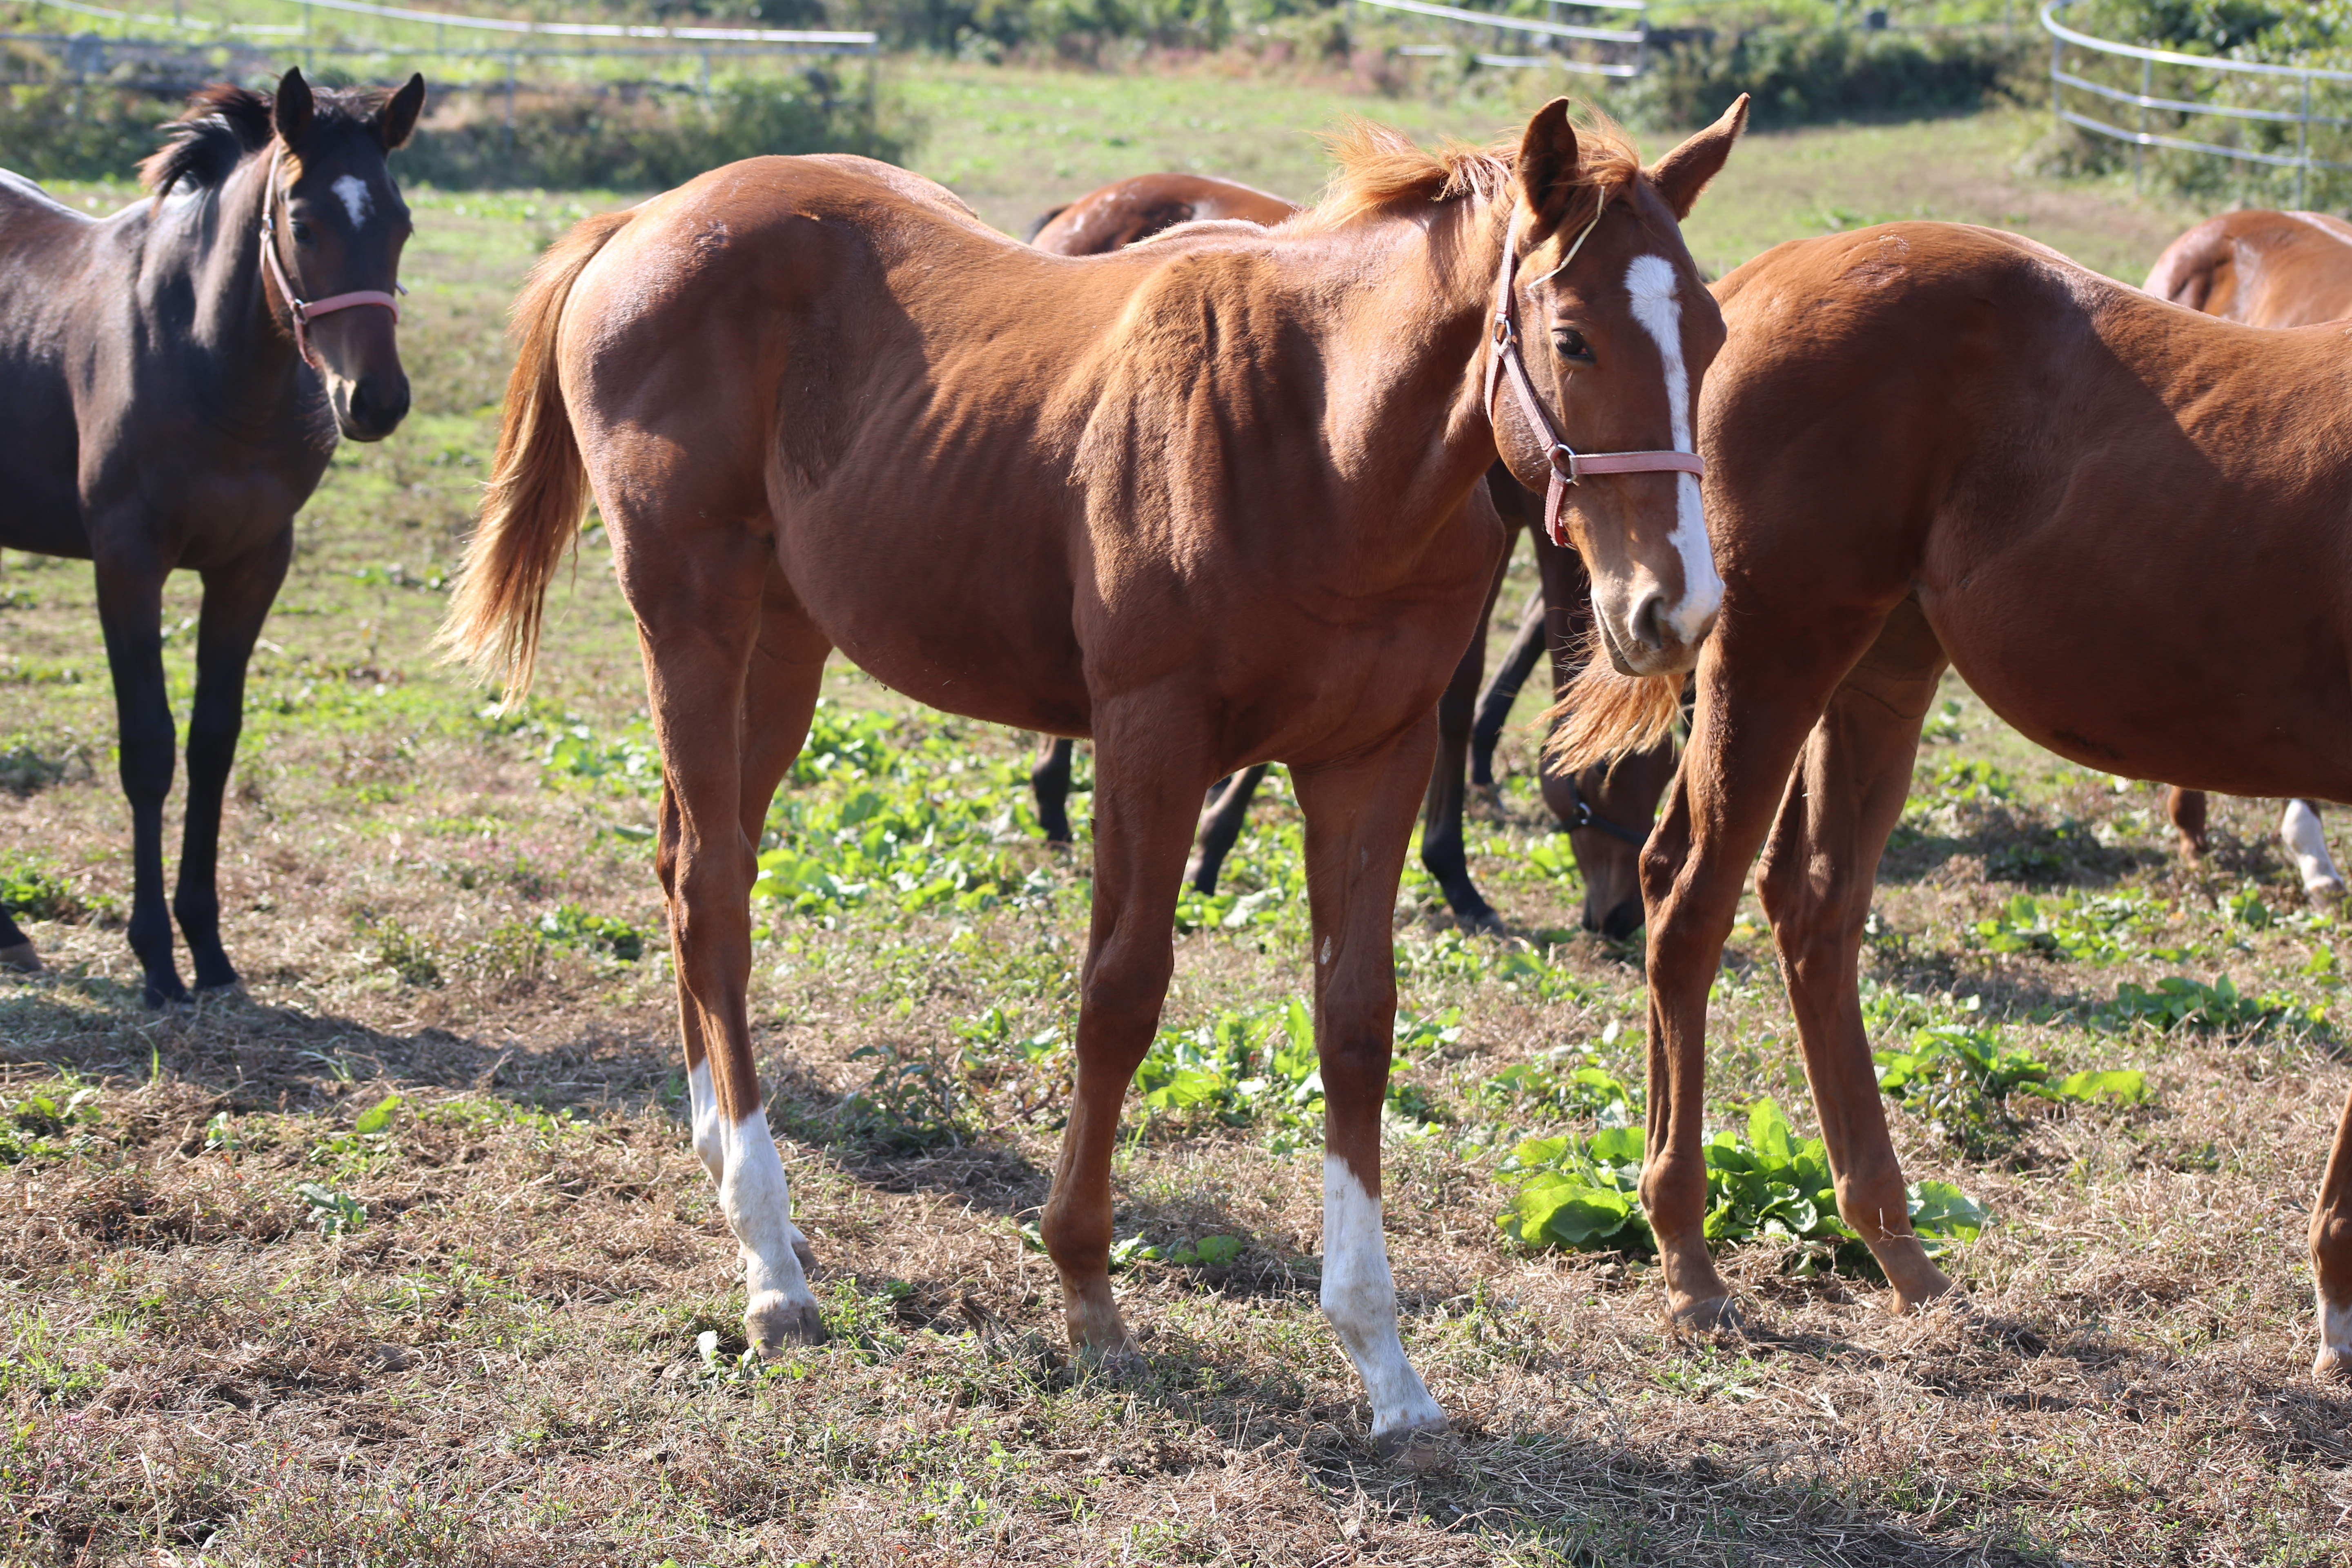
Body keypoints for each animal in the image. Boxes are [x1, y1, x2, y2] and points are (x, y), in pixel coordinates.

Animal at [2, 67, 423, 1001]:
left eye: (402, 222)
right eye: (302, 223)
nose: (376, 402)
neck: (210, 365)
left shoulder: (253, 564)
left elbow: (213, 742)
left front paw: (211, 947)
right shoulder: (128, 563)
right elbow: (149, 748)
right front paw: (156, 957)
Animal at [449, 101, 1750, 1448]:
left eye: (1711, 336)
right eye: (1572, 335)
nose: (1676, 607)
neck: (1317, 438)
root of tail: (647, 220)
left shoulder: (1369, 757)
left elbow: (1357, 1020)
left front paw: (1384, 1363)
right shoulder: (1150, 735)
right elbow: (1120, 994)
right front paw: (1087, 1290)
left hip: (785, 637)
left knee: (694, 867)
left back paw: (719, 1154)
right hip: (689, 613)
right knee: (712, 885)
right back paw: (772, 1262)